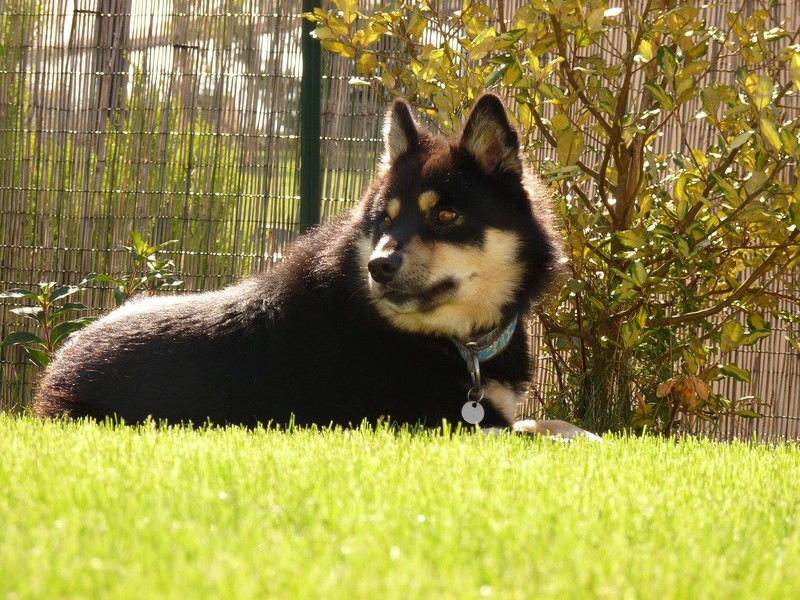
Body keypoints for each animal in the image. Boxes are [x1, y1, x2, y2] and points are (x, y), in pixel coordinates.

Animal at [33, 94, 598, 440]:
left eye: (445, 216)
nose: (379, 265)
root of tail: (56, 367)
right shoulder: (441, 424)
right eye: (384, 219)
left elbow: (549, 422)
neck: (453, 343)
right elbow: (537, 430)